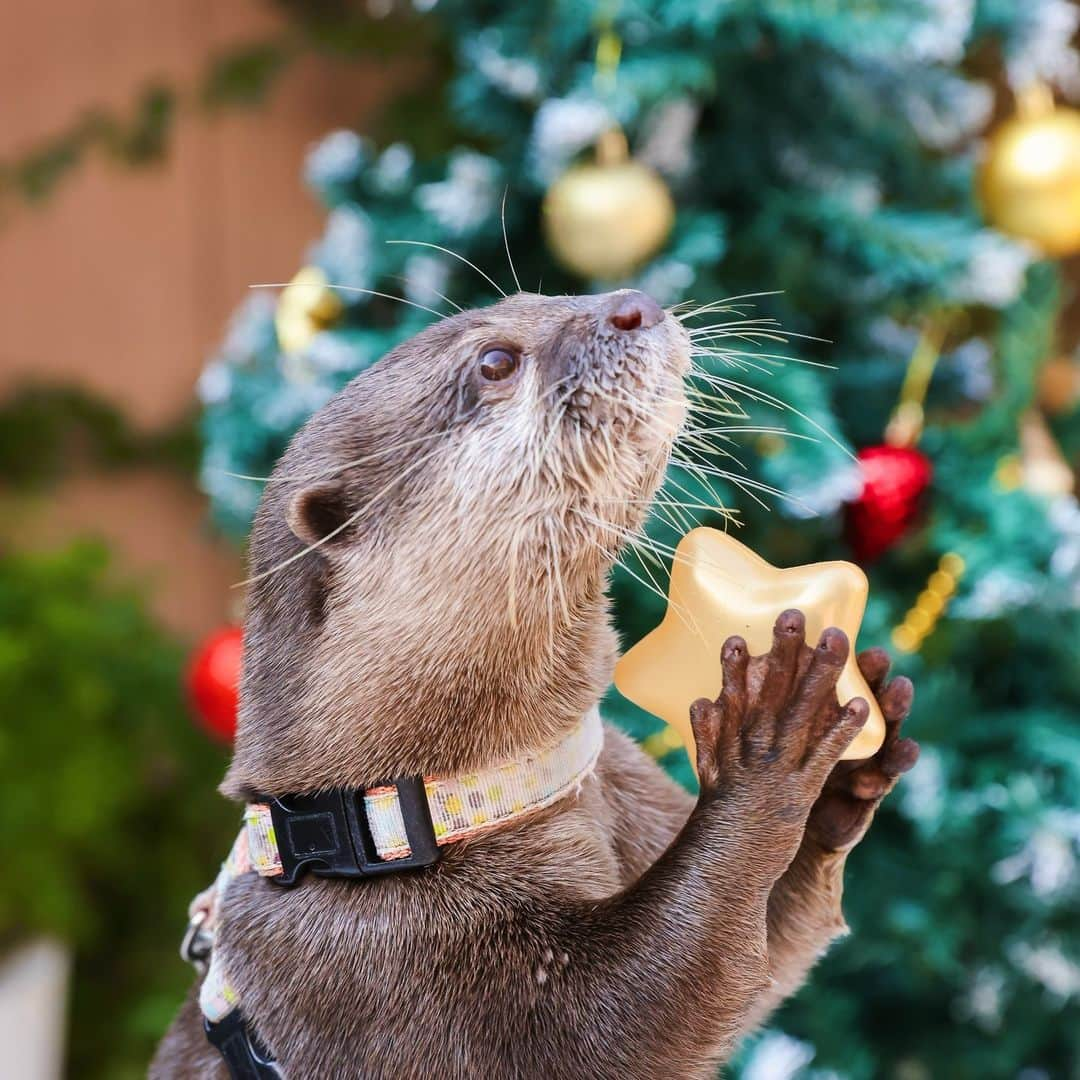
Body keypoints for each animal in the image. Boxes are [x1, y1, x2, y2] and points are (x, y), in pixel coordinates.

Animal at [152, 289, 915, 1080]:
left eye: (536, 296)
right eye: (495, 362)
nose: (635, 303)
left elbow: (771, 951)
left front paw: (844, 766)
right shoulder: (392, 979)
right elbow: (635, 1015)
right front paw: (769, 741)